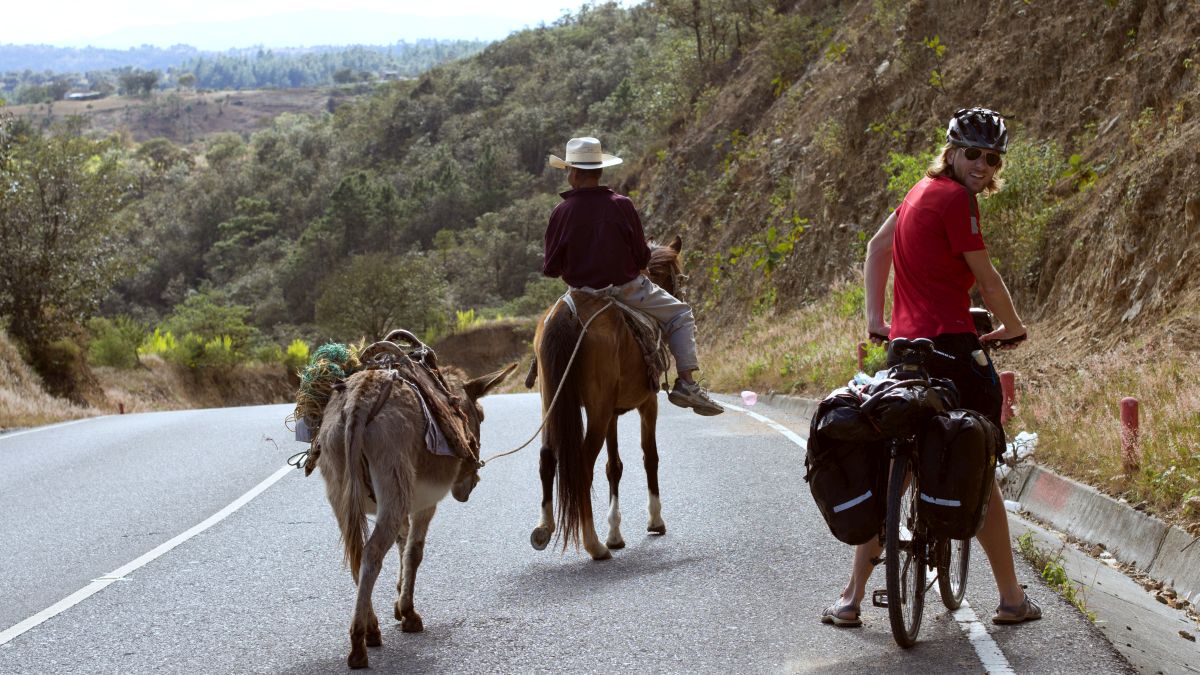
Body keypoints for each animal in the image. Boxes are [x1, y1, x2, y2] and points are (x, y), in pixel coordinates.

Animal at [313, 338, 516, 669]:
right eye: (481, 417)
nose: (469, 487)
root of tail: (359, 399)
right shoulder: (424, 503)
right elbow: (414, 552)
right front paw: (407, 612)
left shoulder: (402, 505)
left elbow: (402, 542)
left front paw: (398, 603)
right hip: (392, 485)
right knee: (371, 554)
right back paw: (358, 644)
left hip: (341, 494)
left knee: (357, 555)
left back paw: (370, 628)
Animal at [530, 236, 684, 560]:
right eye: (675, 275)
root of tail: (568, 315)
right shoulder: (647, 403)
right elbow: (650, 457)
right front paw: (655, 520)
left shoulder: (612, 411)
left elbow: (614, 467)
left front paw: (615, 533)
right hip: (597, 412)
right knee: (582, 466)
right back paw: (594, 544)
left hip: (553, 400)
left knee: (547, 456)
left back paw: (545, 527)